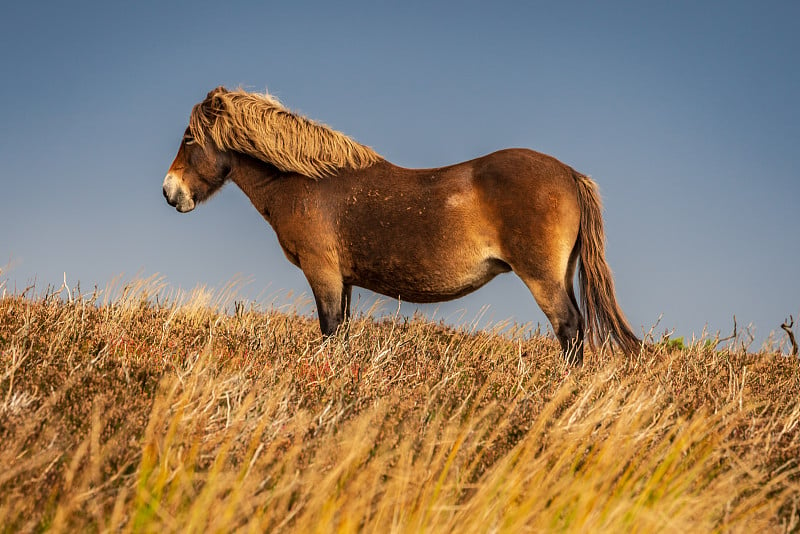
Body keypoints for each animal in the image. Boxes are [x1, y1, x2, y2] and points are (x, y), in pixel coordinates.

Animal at [161, 88, 636, 364]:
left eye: (188, 138)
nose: (170, 191)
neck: (307, 180)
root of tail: (569, 174)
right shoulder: (343, 281)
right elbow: (342, 332)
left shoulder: (323, 273)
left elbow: (329, 331)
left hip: (542, 277)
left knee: (569, 328)